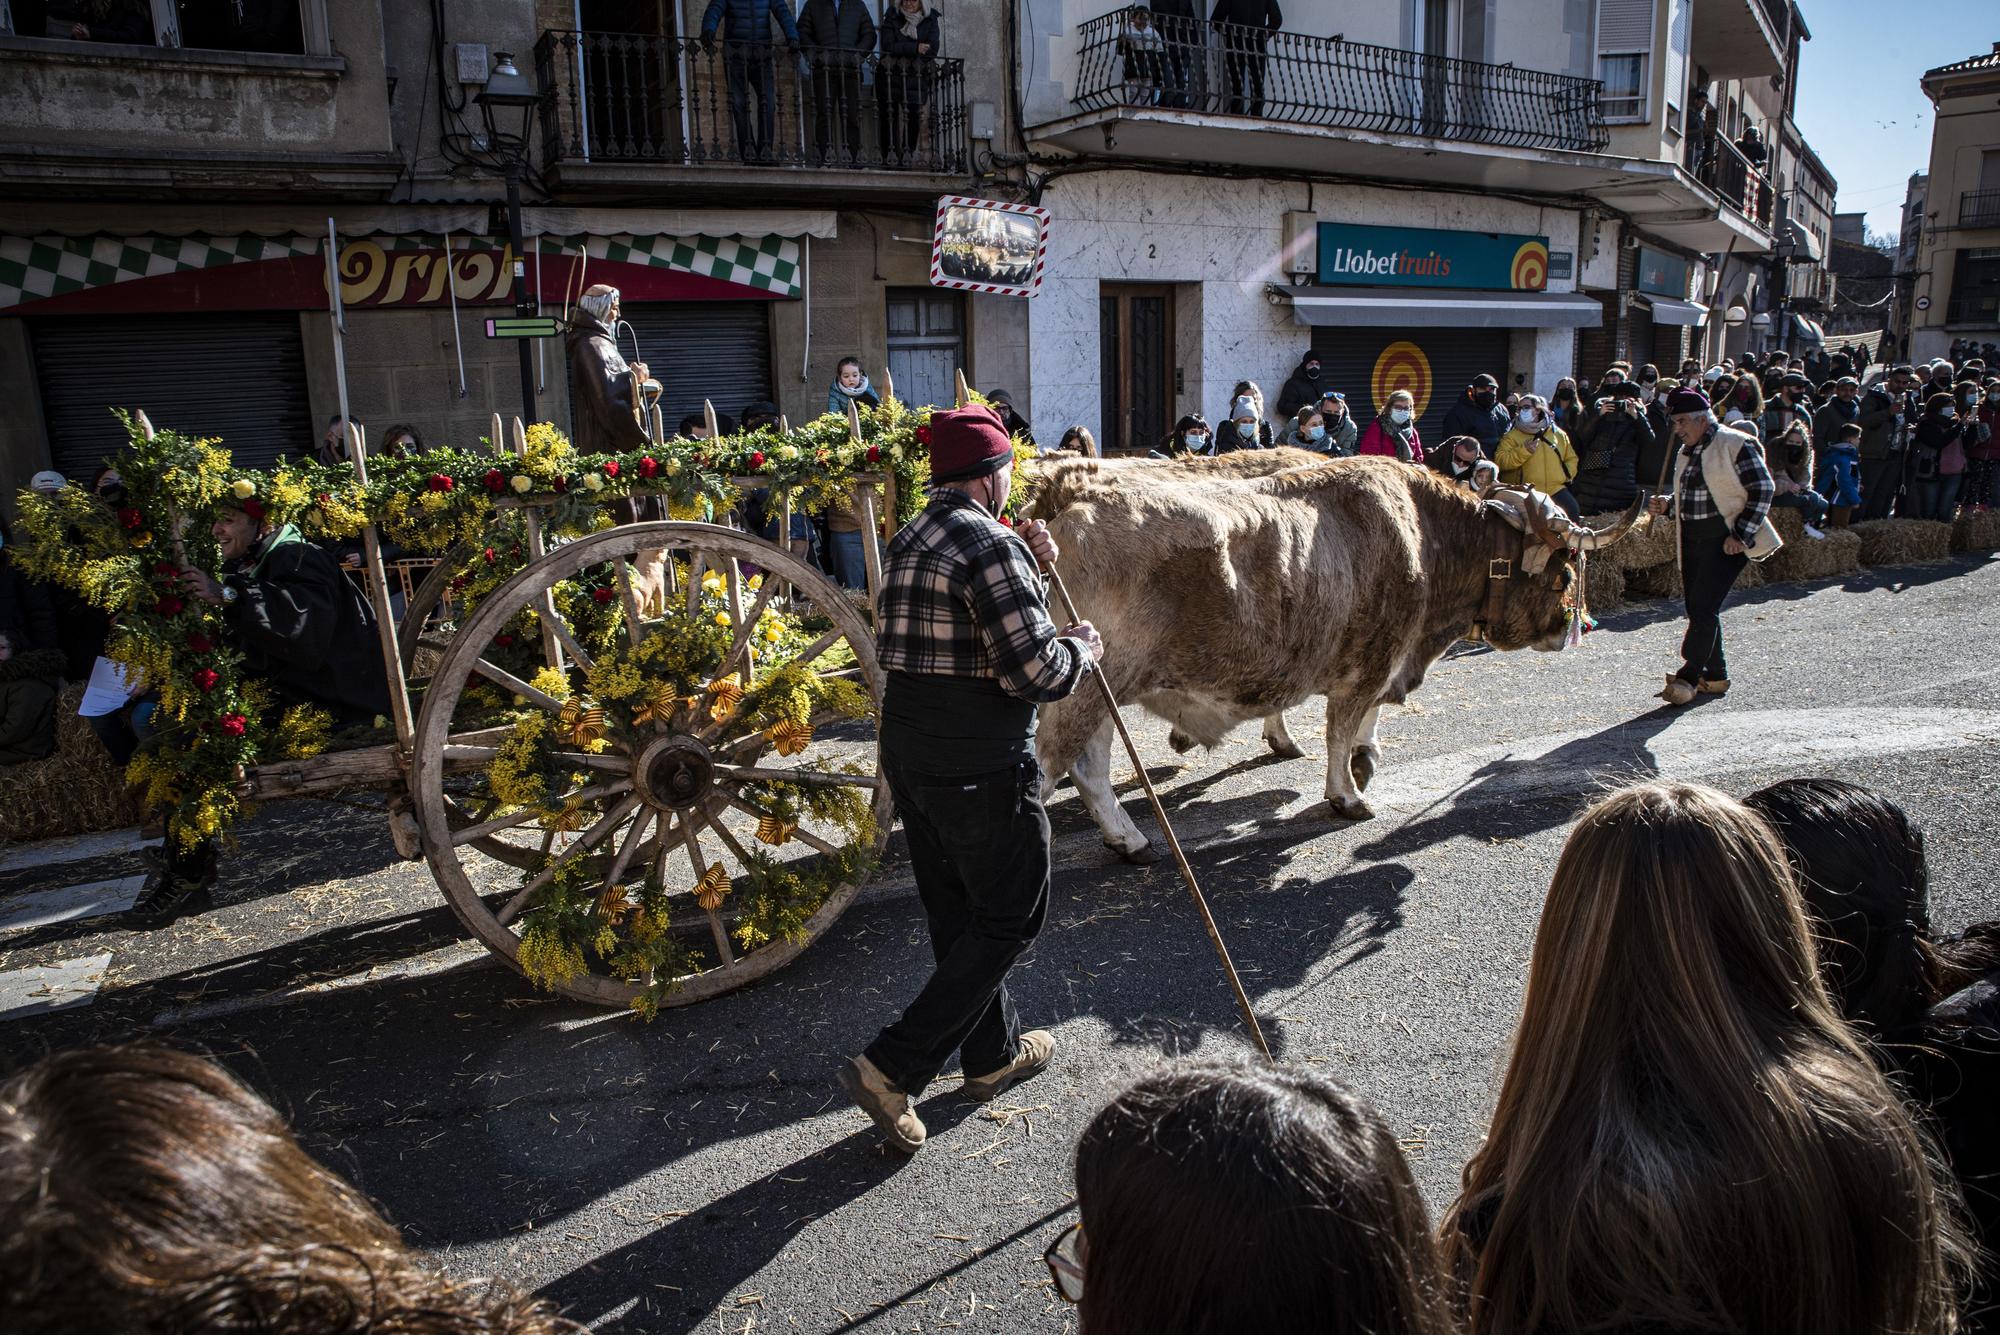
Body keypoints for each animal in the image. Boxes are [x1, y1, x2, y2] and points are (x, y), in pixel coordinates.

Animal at [1024, 453, 1632, 859]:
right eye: (1563, 575)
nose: (1571, 626)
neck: (1424, 535)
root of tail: (1069, 488)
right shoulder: (1369, 662)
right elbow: (1341, 732)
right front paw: (1349, 794)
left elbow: (1358, 725)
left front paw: (1361, 760)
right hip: (1082, 686)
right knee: (1050, 765)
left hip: (1102, 688)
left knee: (1089, 767)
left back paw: (1127, 837)